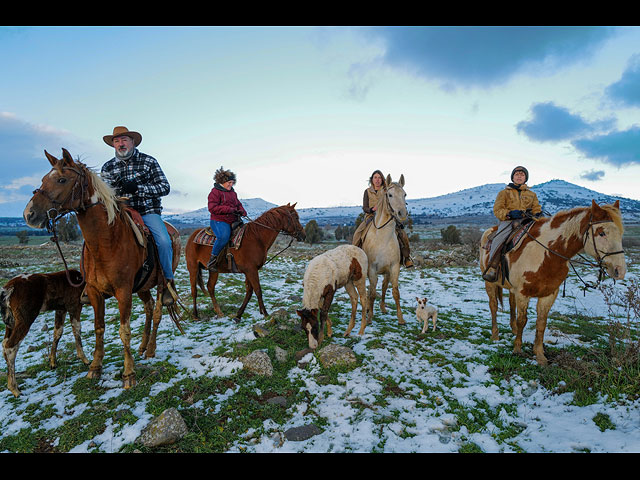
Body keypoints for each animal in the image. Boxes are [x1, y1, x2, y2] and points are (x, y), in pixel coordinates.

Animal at [22, 150, 181, 390]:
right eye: (42, 179)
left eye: (62, 180)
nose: (29, 214)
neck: (106, 243)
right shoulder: (95, 292)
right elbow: (99, 328)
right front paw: (95, 368)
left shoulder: (123, 292)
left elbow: (124, 331)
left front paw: (128, 373)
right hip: (142, 287)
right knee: (148, 307)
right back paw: (143, 346)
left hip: (162, 283)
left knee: (157, 312)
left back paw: (151, 349)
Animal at [360, 172, 410, 334]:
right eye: (390, 194)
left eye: (404, 194)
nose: (402, 213)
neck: (382, 238)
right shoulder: (371, 269)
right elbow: (372, 293)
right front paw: (369, 317)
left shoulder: (394, 267)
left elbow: (395, 292)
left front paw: (401, 319)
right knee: (371, 290)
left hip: (387, 271)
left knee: (383, 287)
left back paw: (382, 308)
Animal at [480, 201, 624, 366]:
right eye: (601, 233)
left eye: (621, 233)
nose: (620, 270)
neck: (546, 253)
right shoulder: (523, 293)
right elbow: (523, 320)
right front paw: (517, 349)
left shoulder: (549, 294)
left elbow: (541, 323)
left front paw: (540, 355)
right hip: (490, 283)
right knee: (493, 306)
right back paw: (495, 335)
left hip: (511, 288)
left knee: (511, 304)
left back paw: (514, 330)